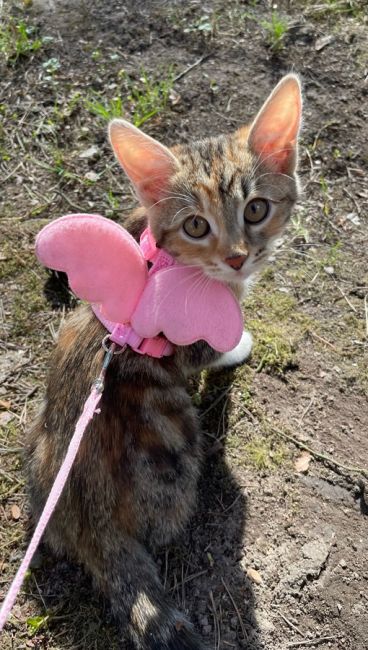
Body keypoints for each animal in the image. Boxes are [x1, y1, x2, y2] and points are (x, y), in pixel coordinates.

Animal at [26, 73, 302, 644]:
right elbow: (216, 345)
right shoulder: (193, 335)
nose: (238, 257)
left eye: (256, 208)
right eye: (197, 225)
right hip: (173, 443)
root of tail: (92, 527)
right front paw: (241, 343)